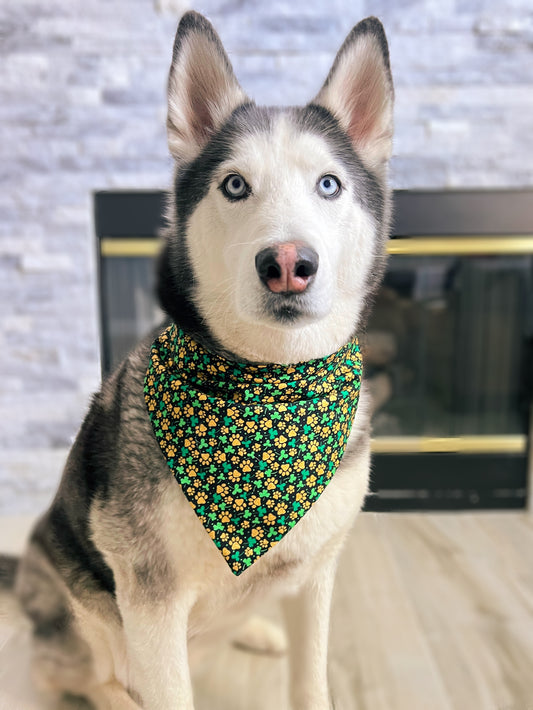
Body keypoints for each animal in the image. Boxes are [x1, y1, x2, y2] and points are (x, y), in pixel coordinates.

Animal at [8, 11, 392, 710]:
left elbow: (310, 679)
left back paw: (255, 630)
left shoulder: (315, 576)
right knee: (76, 672)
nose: (287, 264)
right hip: (82, 608)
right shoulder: (151, 604)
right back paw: (114, 695)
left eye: (329, 184)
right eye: (235, 185)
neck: (271, 385)